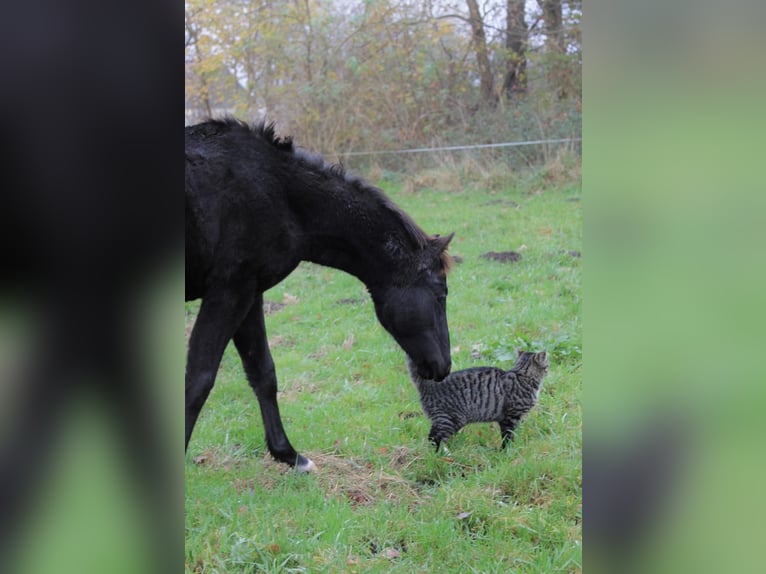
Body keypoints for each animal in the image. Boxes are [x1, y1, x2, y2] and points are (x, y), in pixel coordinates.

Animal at [404, 352, 548, 450]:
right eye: (547, 365)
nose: (548, 370)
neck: (522, 375)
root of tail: (428, 384)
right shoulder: (509, 418)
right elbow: (507, 437)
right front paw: (507, 450)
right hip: (451, 420)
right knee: (436, 438)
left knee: (431, 437)